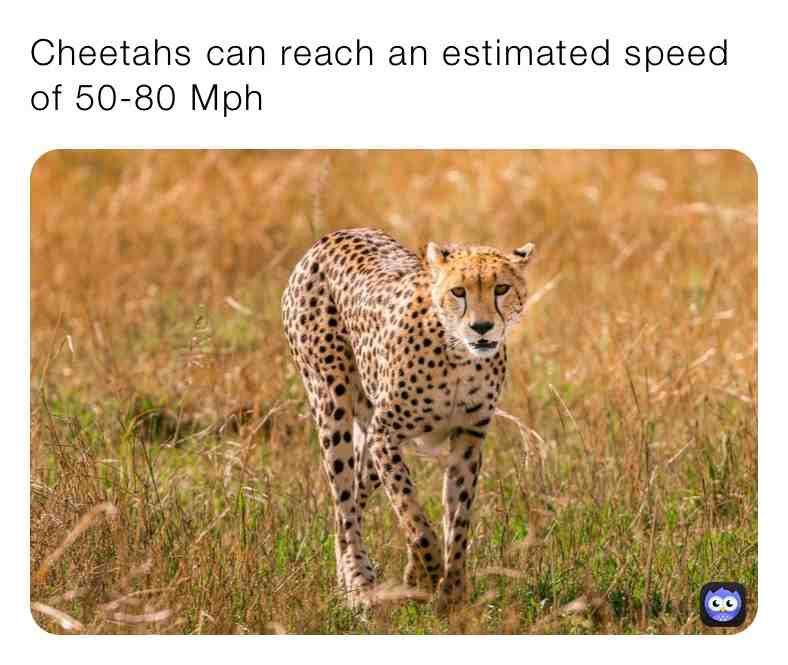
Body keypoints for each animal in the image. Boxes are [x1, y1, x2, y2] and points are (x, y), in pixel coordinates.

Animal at [281, 227, 535, 612]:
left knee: (354, 497)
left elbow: (457, 520)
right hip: (331, 405)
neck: (459, 355)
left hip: (367, 431)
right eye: (458, 291)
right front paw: (425, 578)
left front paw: (452, 593)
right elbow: (413, 515)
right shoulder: (386, 435)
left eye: (501, 288)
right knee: (344, 506)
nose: (481, 327)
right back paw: (358, 587)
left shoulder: (467, 437)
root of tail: (335, 234)